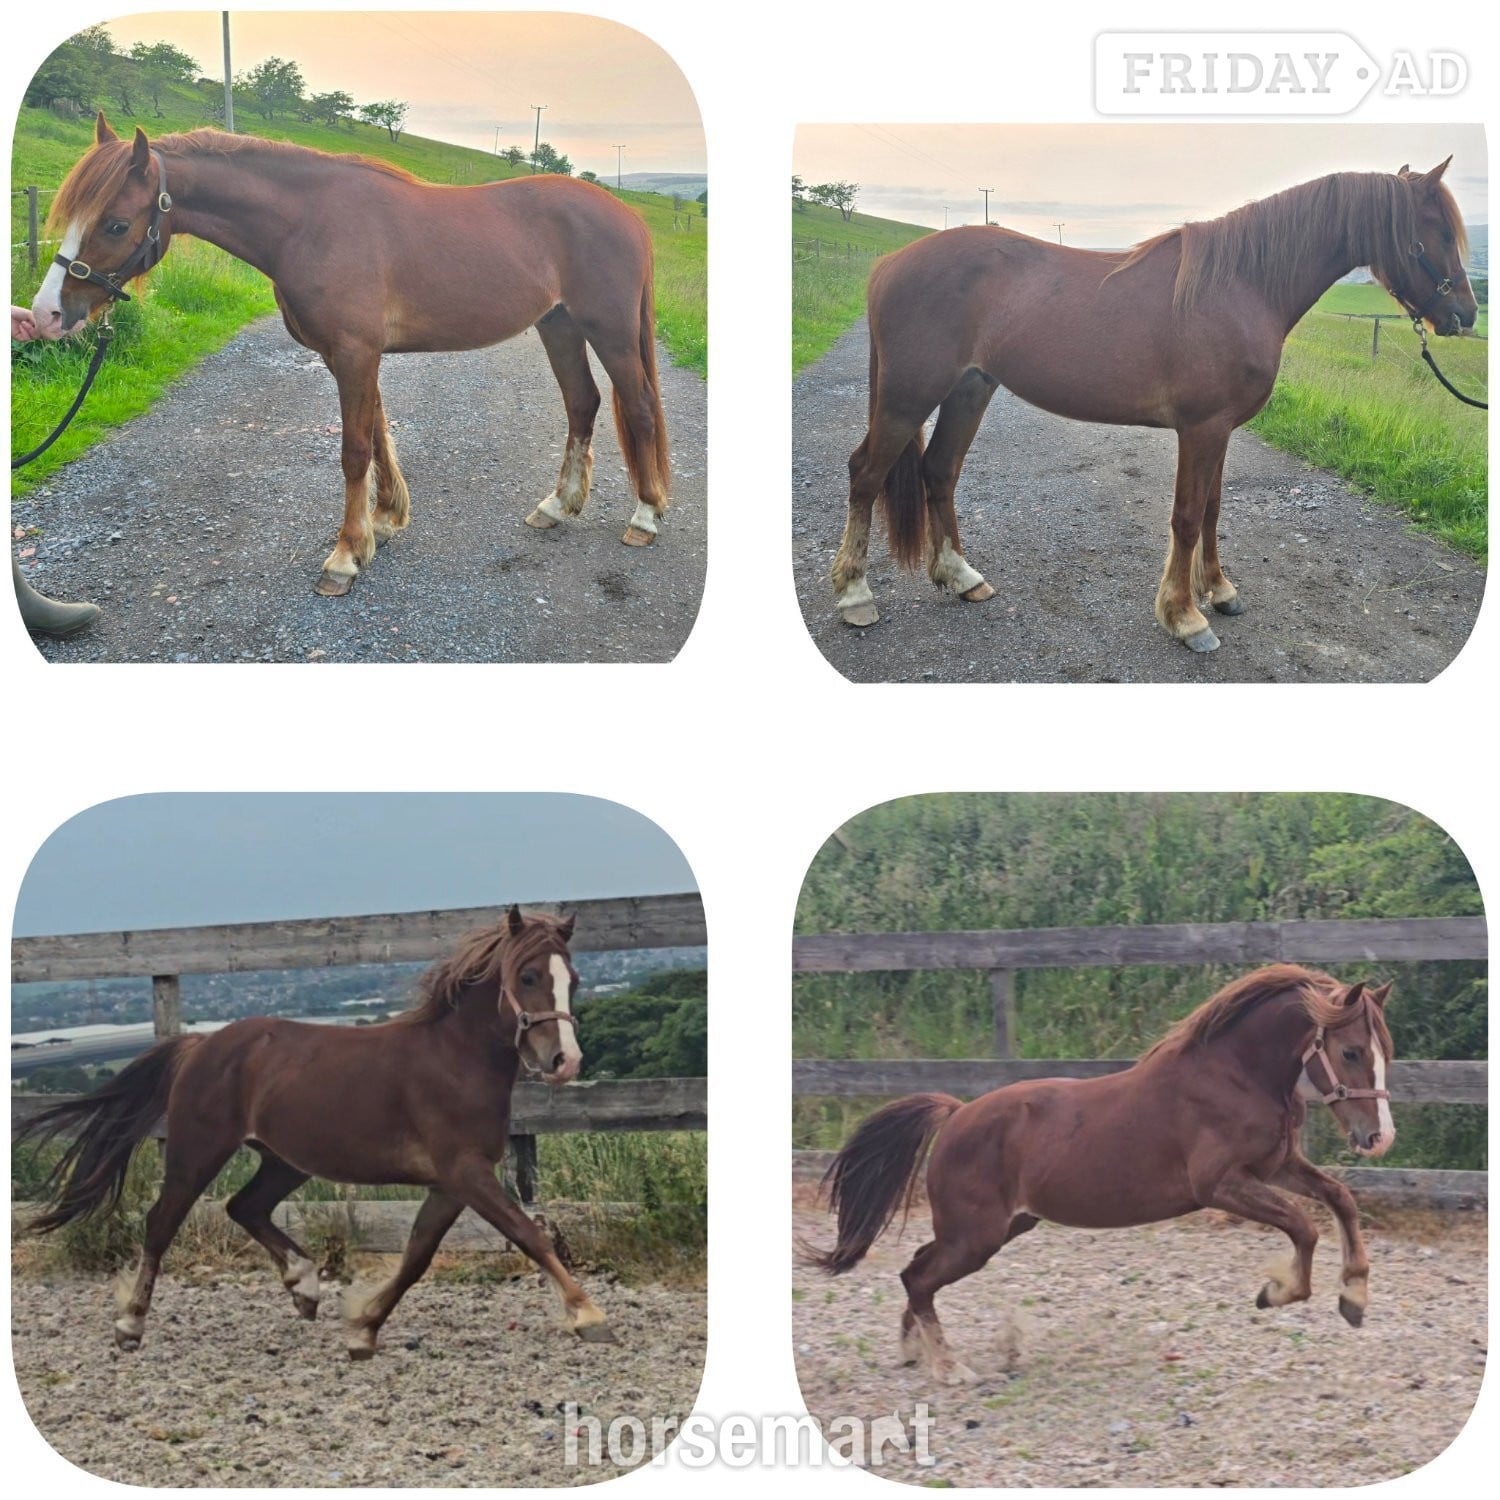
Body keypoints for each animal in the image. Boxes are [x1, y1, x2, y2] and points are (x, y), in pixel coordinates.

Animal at [18, 906, 617, 1359]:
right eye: (528, 977)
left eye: (573, 980)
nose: (565, 1061)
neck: (455, 1062)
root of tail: (201, 1043)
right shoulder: (465, 1172)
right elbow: (528, 1233)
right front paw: (589, 1316)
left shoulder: (450, 1184)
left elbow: (418, 1256)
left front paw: (363, 1330)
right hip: (198, 1150)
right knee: (162, 1221)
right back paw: (131, 1325)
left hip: (285, 1159)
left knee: (245, 1206)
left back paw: (304, 1287)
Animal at [28, 115, 671, 596]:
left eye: (116, 224)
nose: (46, 315)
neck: (310, 223)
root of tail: (628, 215)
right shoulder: (350, 356)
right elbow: (380, 435)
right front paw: (381, 525)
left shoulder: (356, 353)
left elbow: (355, 449)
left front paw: (343, 558)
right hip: (558, 325)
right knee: (582, 403)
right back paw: (558, 506)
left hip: (609, 331)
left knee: (636, 405)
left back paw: (645, 516)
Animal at [805, 965, 1395, 1384]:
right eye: (1350, 1051)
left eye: (1384, 1051)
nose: (1379, 1138)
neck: (1234, 1076)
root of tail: (955, 1114)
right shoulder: (1222, 1185)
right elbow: (1304, 1227)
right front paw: (1276, 1293)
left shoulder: (1275, 1167)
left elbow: (1338, 1199)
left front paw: (1354, 1298)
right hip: (976, 1237)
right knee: (918, 1278)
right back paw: (950, 1369)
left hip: (998, 1228)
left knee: (917, 1271)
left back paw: (915, 1352)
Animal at [831, 160, 1477, 651]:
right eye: (1440, 233)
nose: (1465, 316)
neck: (1240, 286)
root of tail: (889, 264)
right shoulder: (1201, 428)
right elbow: (1187, 516)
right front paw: (1185, 617)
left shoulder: (1222, 430)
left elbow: (1213, 509)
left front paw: (1219, 591)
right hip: (907, 397)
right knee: (866, 474)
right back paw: (855, 594)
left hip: (970, 389)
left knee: (939, 472)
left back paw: (963, 578)